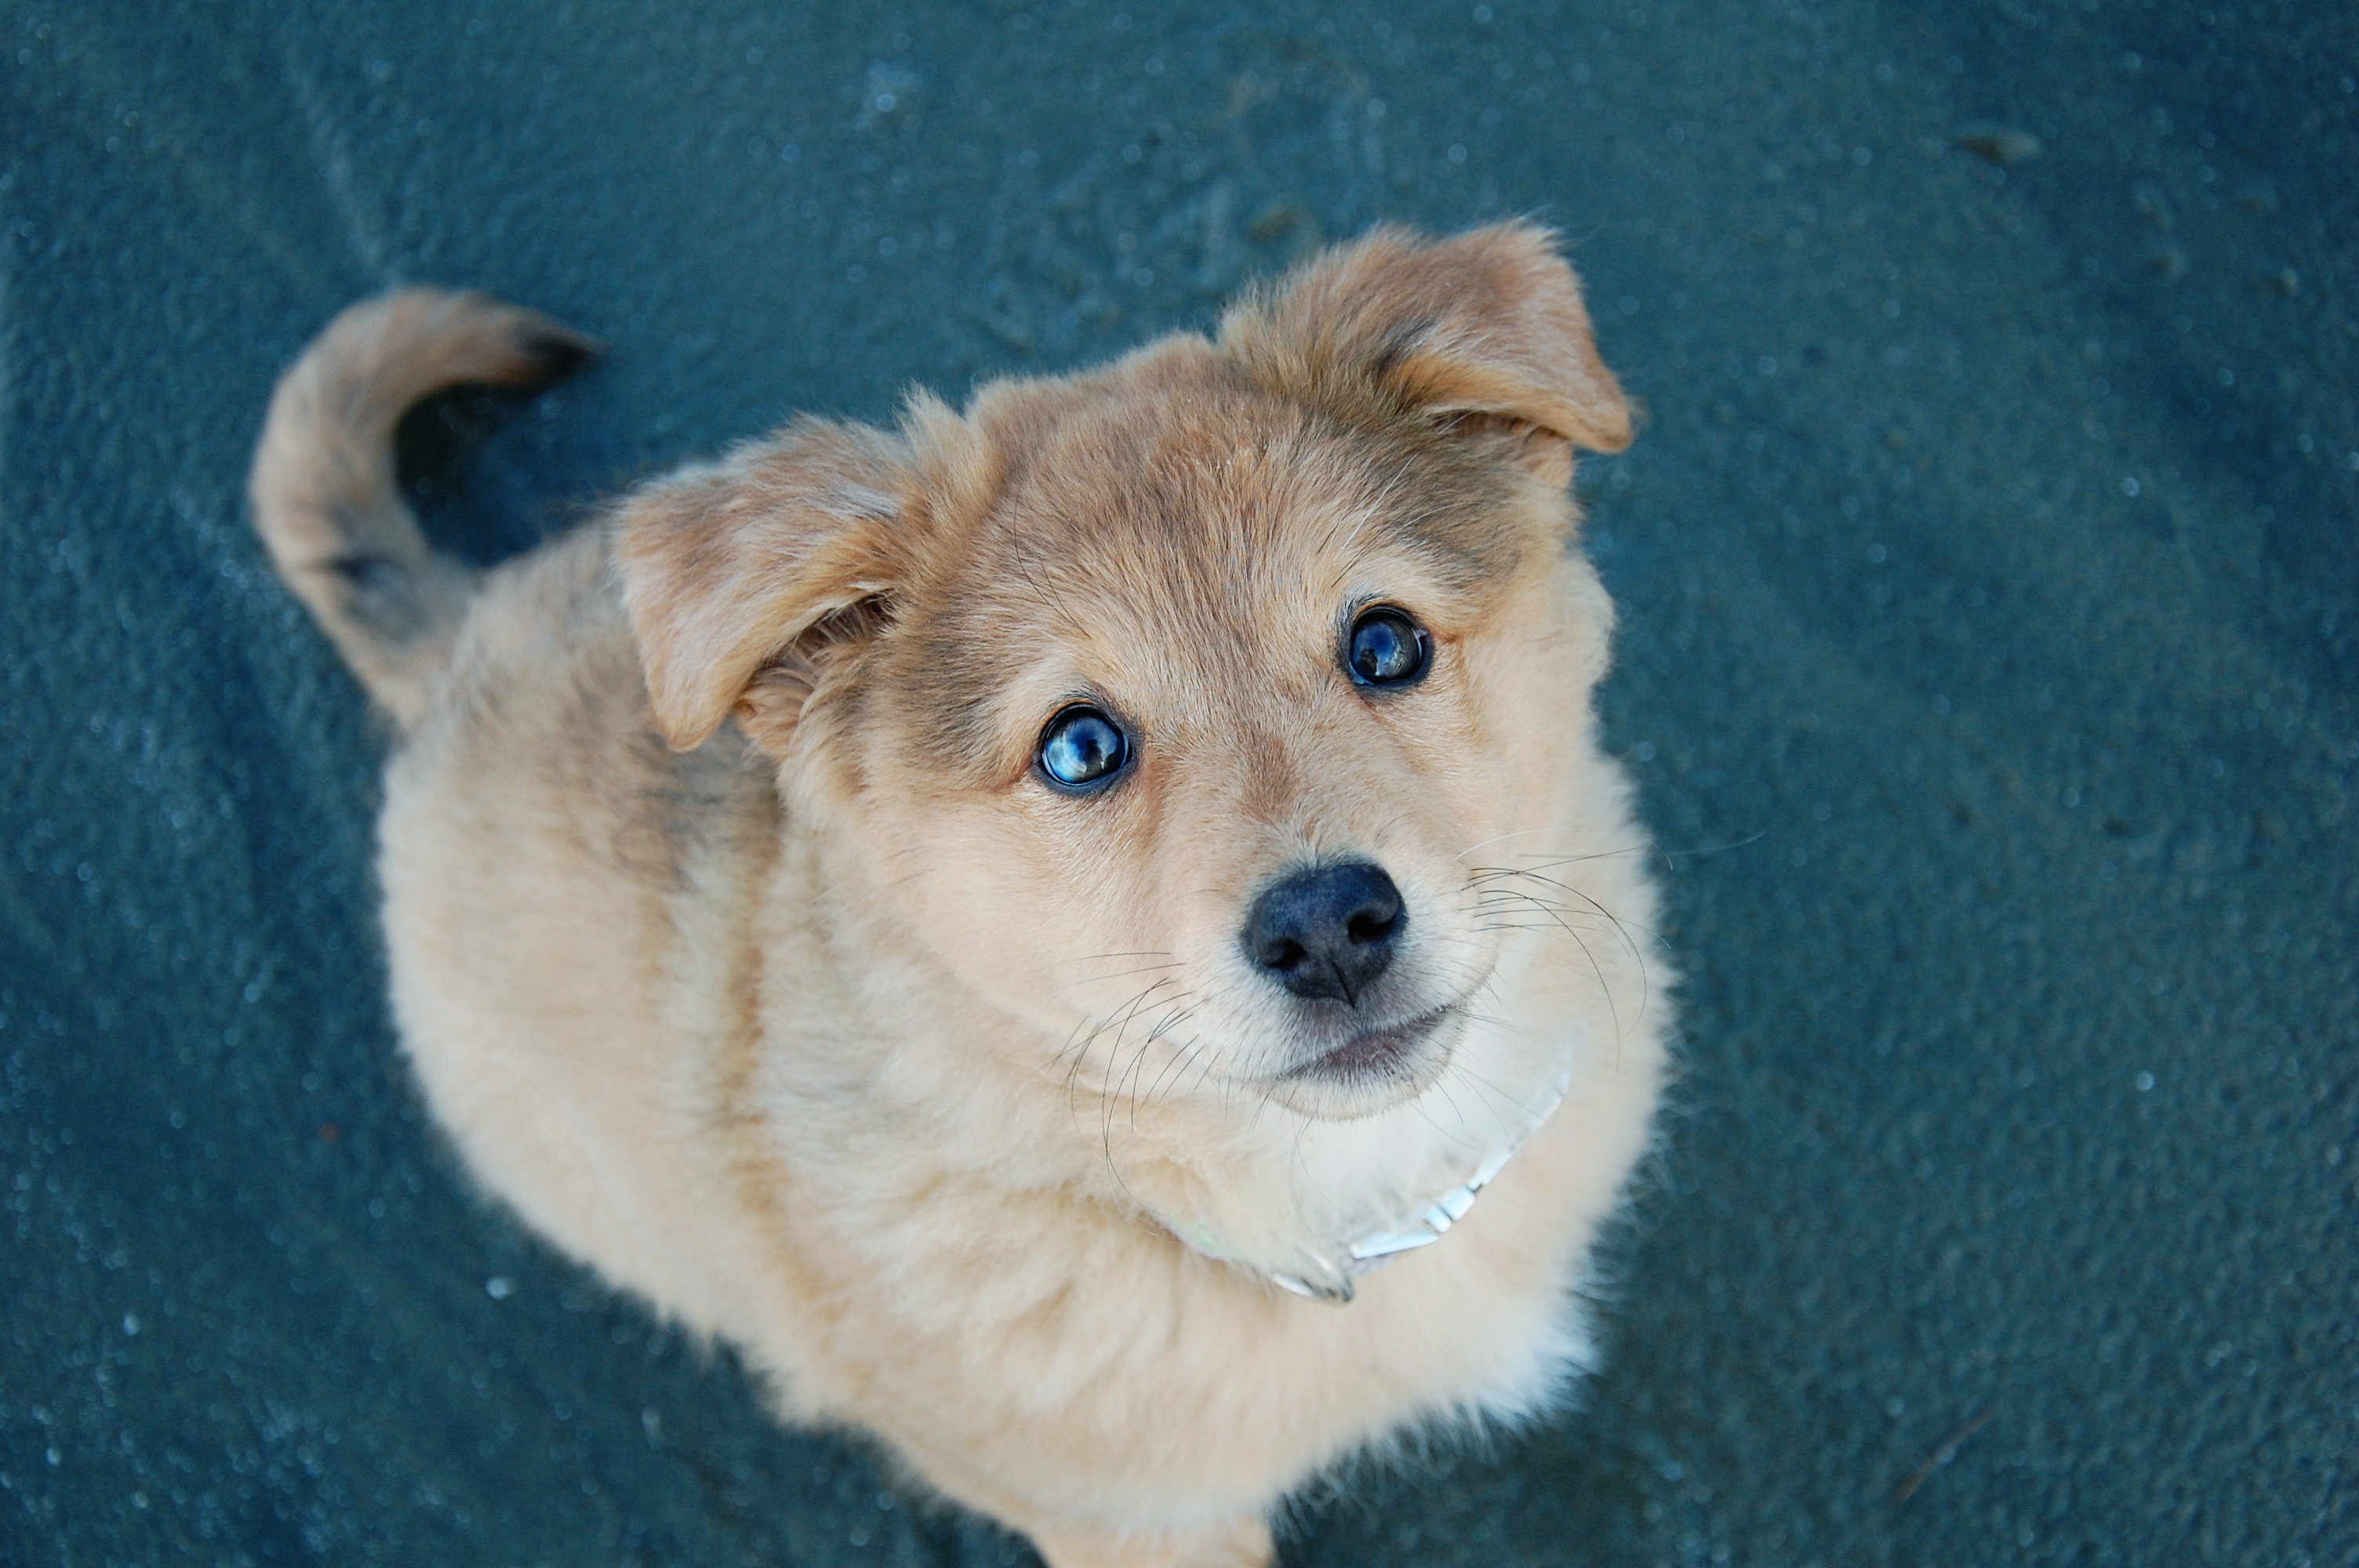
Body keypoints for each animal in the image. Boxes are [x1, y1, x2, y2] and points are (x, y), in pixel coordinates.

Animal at [249, 223, 1670, 1565]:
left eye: (1386, 644)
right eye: (1079, 748)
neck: (1327, 1199)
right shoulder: (1139, 1527)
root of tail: (460, 634)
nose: (1328, 929)